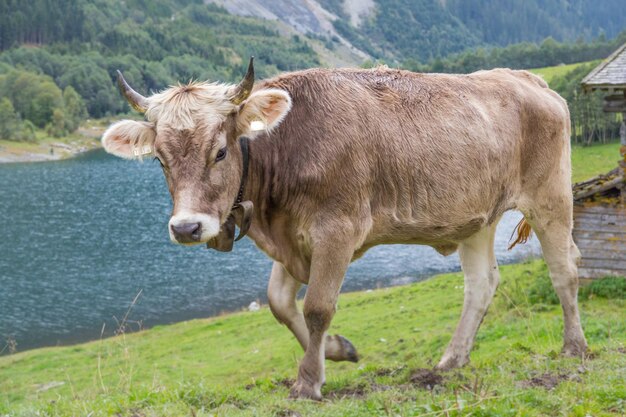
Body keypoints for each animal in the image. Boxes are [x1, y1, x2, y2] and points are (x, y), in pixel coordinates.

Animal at [101, 60, 584, 398]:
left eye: (220, 151)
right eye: (160, 159)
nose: (187, 227)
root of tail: (528, 79)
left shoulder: (337, 230)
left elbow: (317, 307)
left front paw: (309, 381)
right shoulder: (294, 238)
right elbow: (279, 304)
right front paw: (337, 350)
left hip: (550, 196)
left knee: (565, 269)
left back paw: (574, 347)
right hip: (476, 218)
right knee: (481, 284)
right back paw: (452, 359)